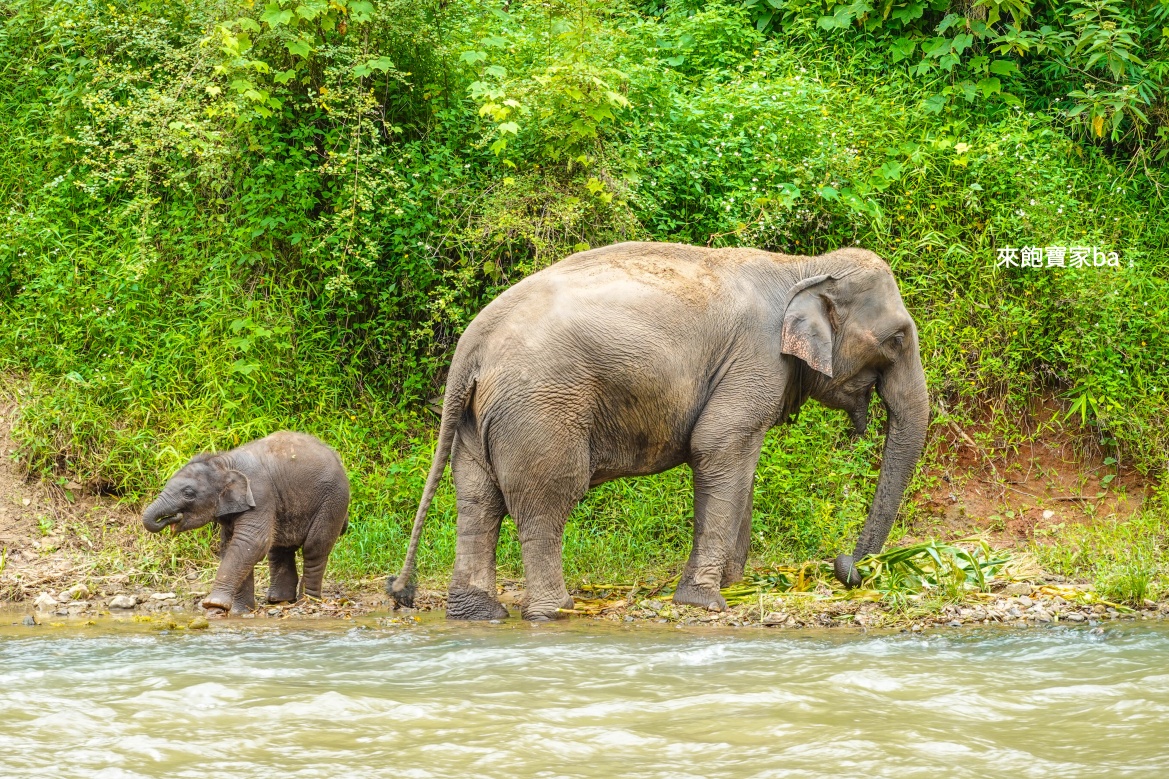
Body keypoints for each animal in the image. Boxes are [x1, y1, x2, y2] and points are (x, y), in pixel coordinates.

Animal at [142, 431, 350, 615]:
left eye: (188, 494)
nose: (172, 518)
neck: (224, 462)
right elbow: (232, 547)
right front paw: (240, 612)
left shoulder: (259, 494)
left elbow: (251, 542)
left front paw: (214, 605)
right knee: (279, 549)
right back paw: (279, 600)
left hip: (333, 500)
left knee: (314, 548)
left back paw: (307, 601)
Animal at [387, 241, 928, 621]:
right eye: (897, 338)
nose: (846, 566)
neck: (802, 266)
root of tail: (471, 345)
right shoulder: (754, 358)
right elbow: (718, 449)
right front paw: (707, 601)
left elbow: (741, 466)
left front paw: (732, 585)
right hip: (540, 409)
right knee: (545, 499)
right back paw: (554, 612)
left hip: (477, 418)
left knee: (476, 500)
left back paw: (479, 614)